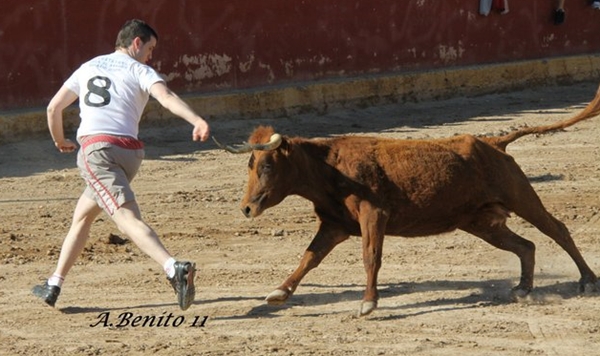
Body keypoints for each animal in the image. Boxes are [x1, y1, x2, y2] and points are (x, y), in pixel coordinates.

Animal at [217, 85, 600, 316]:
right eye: (250, 165)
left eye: (266, 166)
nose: (247, 208)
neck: (329, 168)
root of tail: (495, 142)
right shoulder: (335, 224)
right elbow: (309, 258)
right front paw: (279, 293)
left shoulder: (374, 215)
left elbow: (371, 257)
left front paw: (368, 304)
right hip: (481, 221)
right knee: (526, 245)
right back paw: (522, 288)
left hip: (520, 196)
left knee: (557, 230)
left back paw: (587, 280)